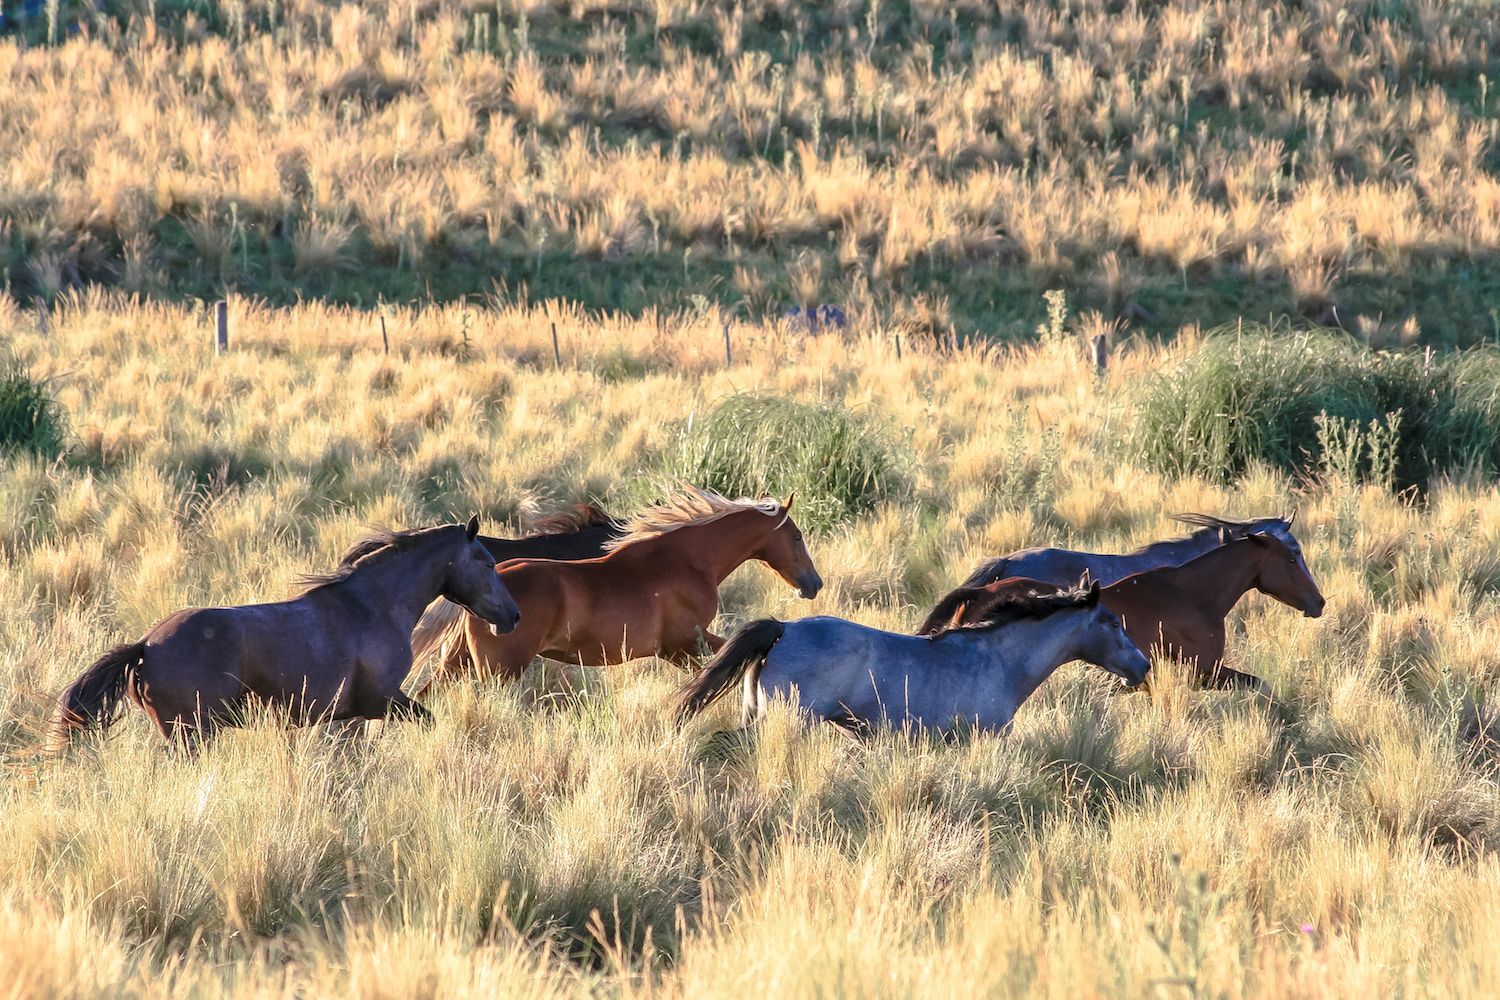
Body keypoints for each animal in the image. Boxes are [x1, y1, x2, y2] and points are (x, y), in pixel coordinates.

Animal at [51, 521, 522, 746]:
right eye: (487, 562)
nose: (513, 615)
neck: (372, 605)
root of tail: (146, 646)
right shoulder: (384, 699)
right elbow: (424, 720)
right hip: (194, 733)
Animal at [408, 488, 822, 692]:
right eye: (797, 536)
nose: (814, 584)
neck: (688, 560)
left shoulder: (675, 651)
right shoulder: (685, 643)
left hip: (457, 663)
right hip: (499, 671)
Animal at [924, 536, 1326, 692]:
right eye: (1292, 559)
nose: (1319, 602)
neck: (1194, 594)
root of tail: (981, 592)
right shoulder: (1204, 671)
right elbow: (1262, 686)